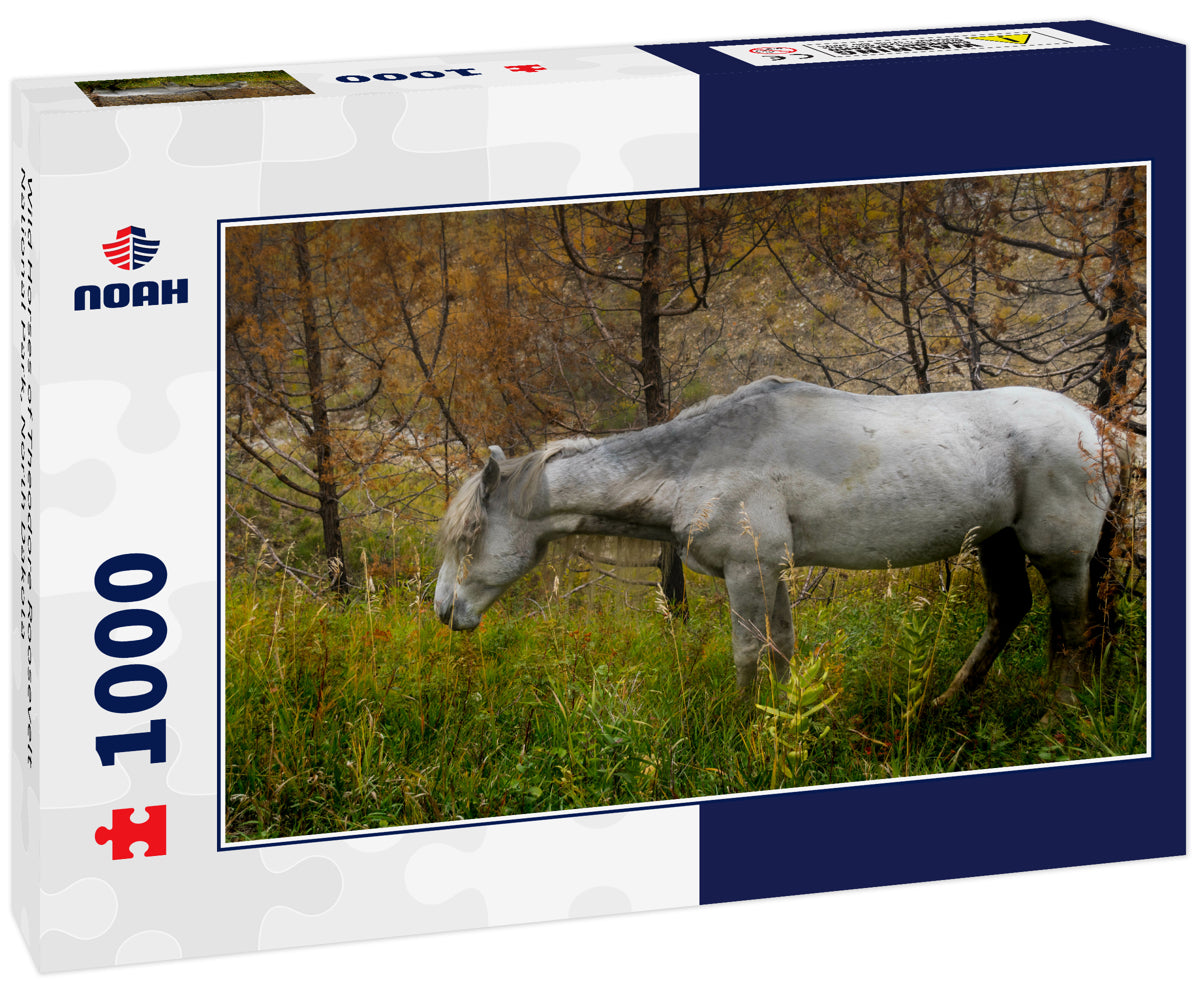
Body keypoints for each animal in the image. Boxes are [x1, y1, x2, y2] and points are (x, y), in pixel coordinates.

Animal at [434, 376, 1125, 709]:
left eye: (469, 538)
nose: (443, 611)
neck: (698, 462)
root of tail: (1100, 430)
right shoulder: (776, 570)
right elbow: (784, 647)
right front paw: (791, 713)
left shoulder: (748, 570)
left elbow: (747, 653)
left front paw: (743, 726)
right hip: (996, 541)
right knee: (1010, 610)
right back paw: (946, 701)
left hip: (1060, 556)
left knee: (1071, 627)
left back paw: (1059, 712)